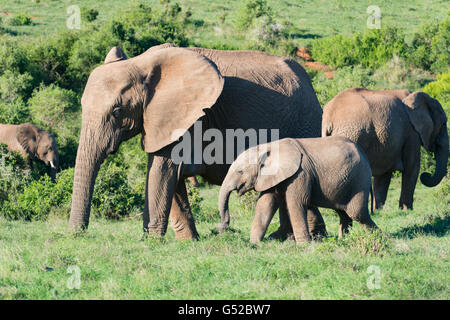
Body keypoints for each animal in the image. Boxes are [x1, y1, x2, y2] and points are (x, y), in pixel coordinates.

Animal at [68, 42, 326, 239]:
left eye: (117, 111)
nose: (77, 235)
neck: (141, 63)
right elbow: (171, 177)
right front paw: (188, 241)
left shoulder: (182, 117)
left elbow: (162, 171)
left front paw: (151, 241)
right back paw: (291, 237)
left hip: (304, 120)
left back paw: (303, 238)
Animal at [217, 136, 376, 244]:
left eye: (240, 171)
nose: (222, 227)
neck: (268, 147)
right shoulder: (274, 176)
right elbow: (265, 203)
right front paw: (255, 242)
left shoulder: (300, 173)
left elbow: (296, 203)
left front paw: (304, 245)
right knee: (344, 213)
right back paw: (342, 240)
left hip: (359, 180)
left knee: (357, 213)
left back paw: (378, 238)